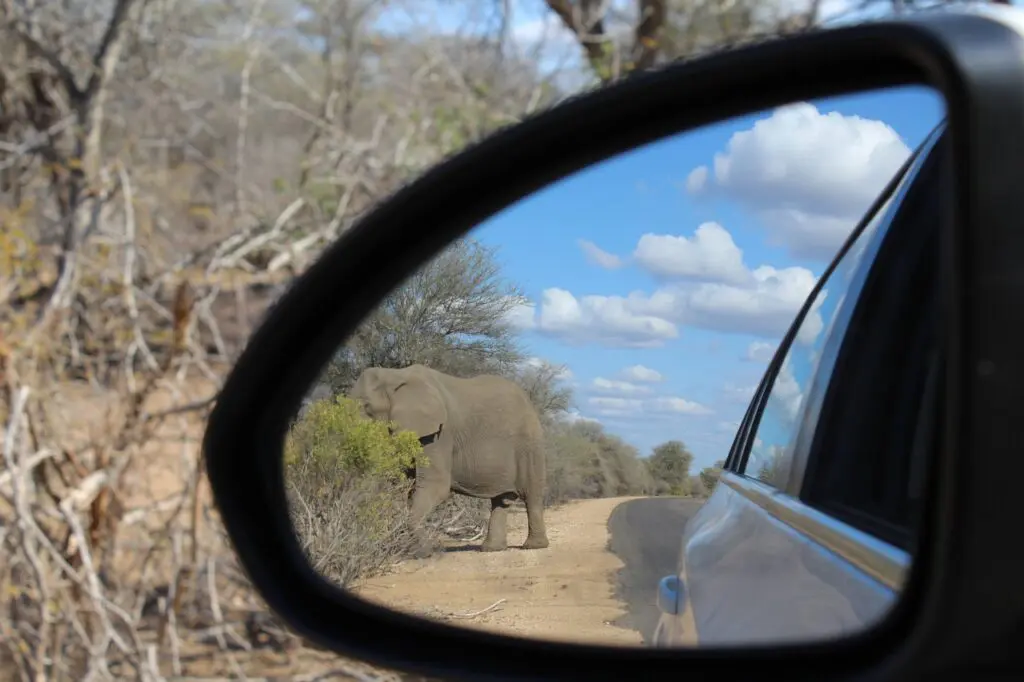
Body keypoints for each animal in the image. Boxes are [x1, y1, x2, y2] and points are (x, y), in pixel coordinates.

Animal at [348, 364, 549, 553]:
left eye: (367, 408)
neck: (395, 375)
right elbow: (402, 485)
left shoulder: (439, 433)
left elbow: (436, 485)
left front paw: (425, 551)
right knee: (500, 500)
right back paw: (491, 548)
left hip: (529, 445)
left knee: (531, 494)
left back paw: (534, 546)